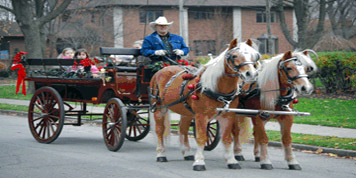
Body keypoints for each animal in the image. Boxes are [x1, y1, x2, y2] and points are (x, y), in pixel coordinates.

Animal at [149, 38, 260, 171]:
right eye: (234, 56)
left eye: (254, 56)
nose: (251, 74)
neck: (216, 88)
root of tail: (160, 70)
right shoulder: (201, 116)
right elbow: (202, 138)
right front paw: (199, 162)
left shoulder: (228, 116)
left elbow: (227, 138)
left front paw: (231, 160)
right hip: (160, 108)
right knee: (160, 130)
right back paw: (161, 154)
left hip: (186, 112)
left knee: (183, 129)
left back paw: (186, 153)